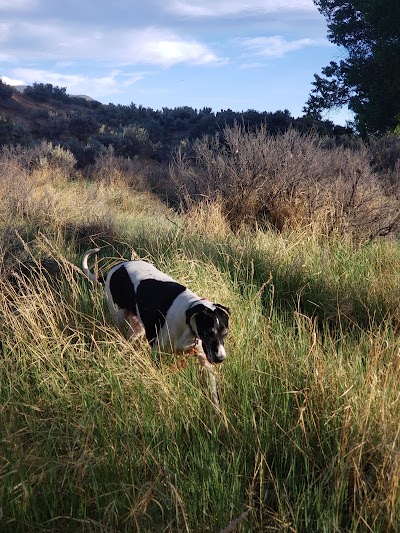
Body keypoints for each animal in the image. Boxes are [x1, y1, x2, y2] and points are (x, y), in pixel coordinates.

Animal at [81, 248, 230, 366]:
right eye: (209, 332)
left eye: (225, 333)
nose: (220, 358)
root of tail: (113, 270)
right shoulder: (157, 353)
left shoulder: (204, 361)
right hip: (119, 319)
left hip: (138, 328)